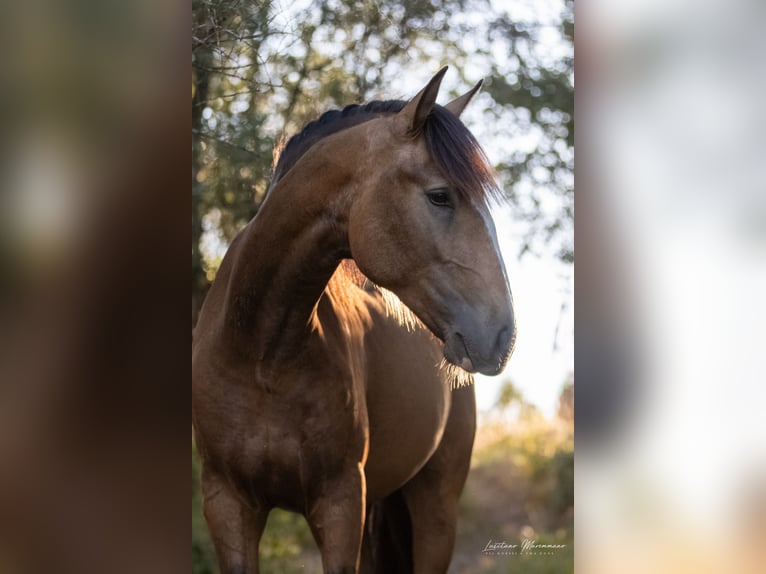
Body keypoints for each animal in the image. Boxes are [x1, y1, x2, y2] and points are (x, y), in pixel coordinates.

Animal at [190, 68, 516, 574]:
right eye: (440, 196)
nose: (503, 335)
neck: (261, 354)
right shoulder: (226, 502)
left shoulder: (340, 502)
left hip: (435, 507)